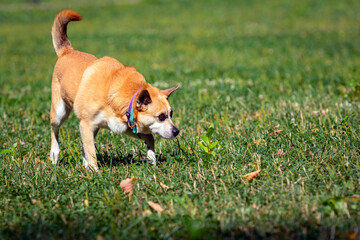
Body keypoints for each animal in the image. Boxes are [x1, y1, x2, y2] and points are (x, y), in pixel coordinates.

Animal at [50, 9, 179, 171]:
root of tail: (67, 51)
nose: (177, 131)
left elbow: (149, 137)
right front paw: (95, 172)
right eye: (161, 116)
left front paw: (151, 160)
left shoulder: (125, 125)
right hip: (59, 112)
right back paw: (55, 155)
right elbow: (91, 151)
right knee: (55, 130)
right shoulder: (86, 123)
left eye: (171, 114)